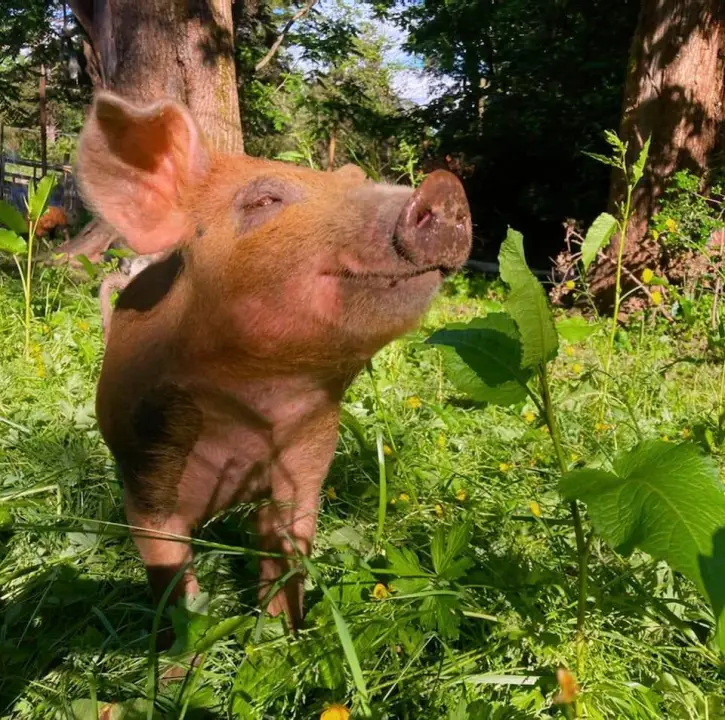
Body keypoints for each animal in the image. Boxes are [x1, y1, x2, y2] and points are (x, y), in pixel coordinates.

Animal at [76, 91, 472, 628]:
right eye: (264, 201)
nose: (443, 186)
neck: (256, 414)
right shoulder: (150, 474)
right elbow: (170, 578)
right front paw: (183, 646)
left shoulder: (309, 458)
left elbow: (287, 554)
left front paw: (282, 633)